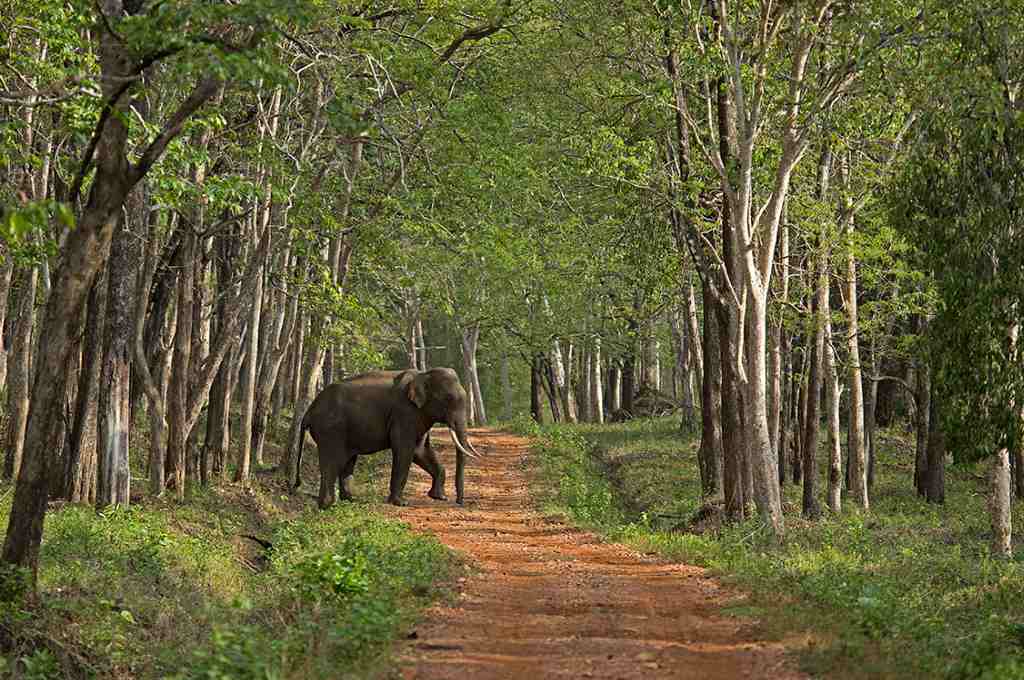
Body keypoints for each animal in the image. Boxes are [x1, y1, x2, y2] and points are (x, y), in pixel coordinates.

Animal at [296, 368, 483, 507]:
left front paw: (439, 497)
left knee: (348, 461)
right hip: (330, 430)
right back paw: (327, 506)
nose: (459, 502)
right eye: (448, 399)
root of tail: (309, 411)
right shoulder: (405, 413)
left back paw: (351, 500)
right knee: (332, 461)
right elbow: (405, 450)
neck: (423, 375)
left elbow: (420, 452)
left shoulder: (419, 415)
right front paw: (401, 503)